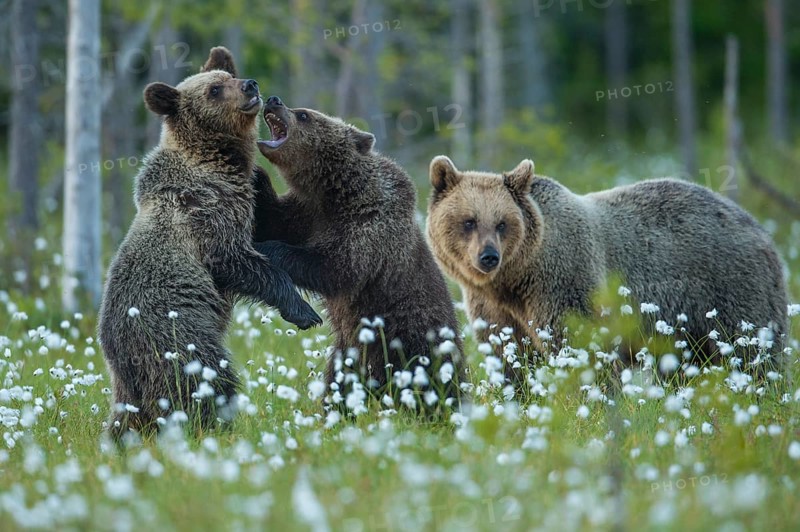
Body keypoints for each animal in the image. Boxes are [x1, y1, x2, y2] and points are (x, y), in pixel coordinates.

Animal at [98, 48, 321, 443]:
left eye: (229, 76)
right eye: (214, 89)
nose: (251, 85)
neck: (216, 163)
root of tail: (119, 354)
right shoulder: (206, 214)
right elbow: (239, 261)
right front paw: (303, 311)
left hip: (131, 382)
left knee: (126, 417)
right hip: (176, 336)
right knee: (207, 380)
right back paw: (217, 427)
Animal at [252, 96, 464, 410]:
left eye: (304, 115)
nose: (274, 100)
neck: (334, 193)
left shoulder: (370, 226)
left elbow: (337, 268)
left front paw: (270, 250)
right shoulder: (306, 213)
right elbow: (272, 221)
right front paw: (255, 174)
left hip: (409, 342)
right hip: (348, 354)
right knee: (338, 383)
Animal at [426, 155, 789, 376]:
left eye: (502, 223)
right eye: (469, 221)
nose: (488, 257)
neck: (517, 278)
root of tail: (761, 229)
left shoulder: (561, 281)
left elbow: (576, 341)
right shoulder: (493, 306)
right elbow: (508, 353)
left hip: (730, 285)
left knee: (751, 349)